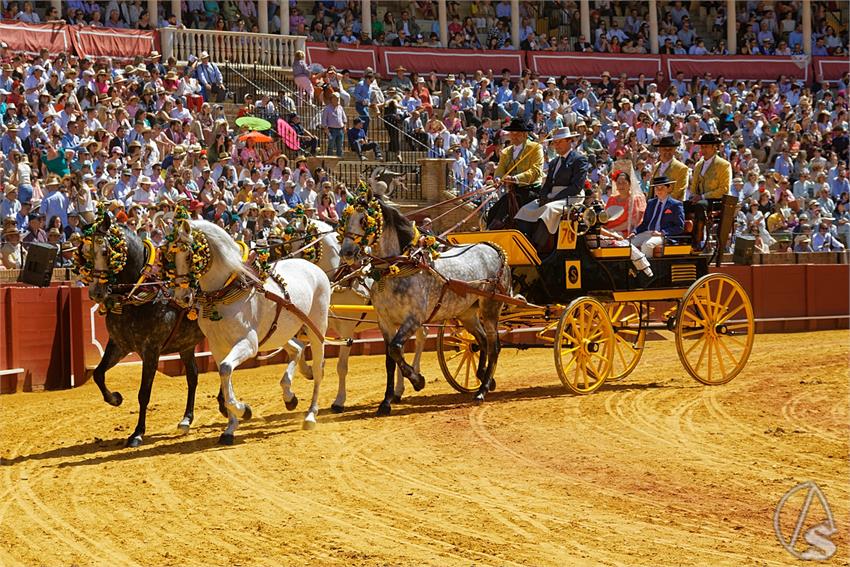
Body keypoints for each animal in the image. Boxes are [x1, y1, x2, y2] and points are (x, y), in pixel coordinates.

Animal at [169, 219, 332, 444]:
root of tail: (314, 268)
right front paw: (231, 427)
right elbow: (224, 375)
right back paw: (289, 397)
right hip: (280, 333)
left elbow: (226, 370)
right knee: (297, 350)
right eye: (170, 256)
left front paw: (243, 410)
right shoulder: (218, 347)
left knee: (318, 370)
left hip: (317, 329)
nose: (181, 297)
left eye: (189, 255)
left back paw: (310, 415)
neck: (224, 292)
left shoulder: (248, 343)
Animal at [338, 191, 510, 418]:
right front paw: (386, 401)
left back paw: (482, 390)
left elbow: (396, 349)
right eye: (345, 219)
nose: (346, 253)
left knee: (494, 346)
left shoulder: (413, 319)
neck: (398, 268)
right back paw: (483, 377)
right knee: (480, 341)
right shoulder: (385, 322)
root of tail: (494, 248)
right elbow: (390, 359)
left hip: (490, 308)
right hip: (467, 313)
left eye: (364, 220)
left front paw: (417, 381)